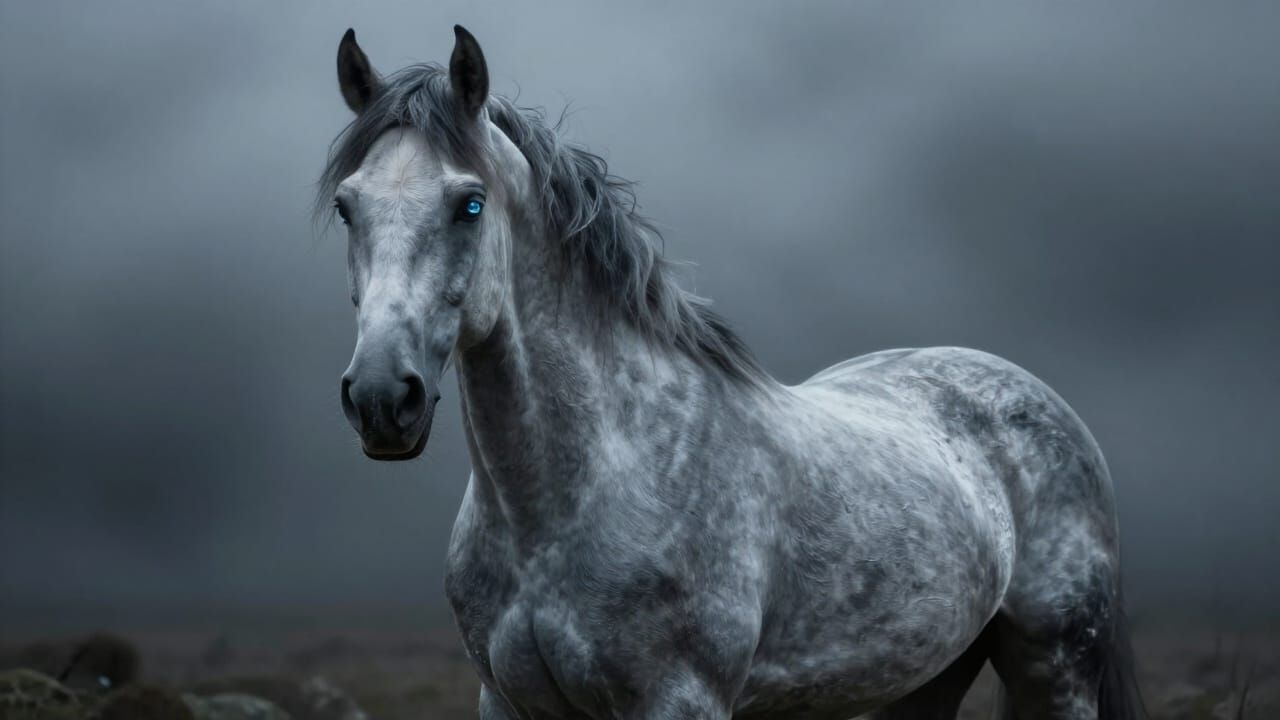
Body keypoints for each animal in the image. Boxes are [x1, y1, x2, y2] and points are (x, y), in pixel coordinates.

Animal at [319, 25, 1144, 720]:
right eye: (346, 207)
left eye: (469, 204)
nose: (382, 398)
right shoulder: (508, 701)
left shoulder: (681, 700)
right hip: (926, 676)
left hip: (1055, 668)